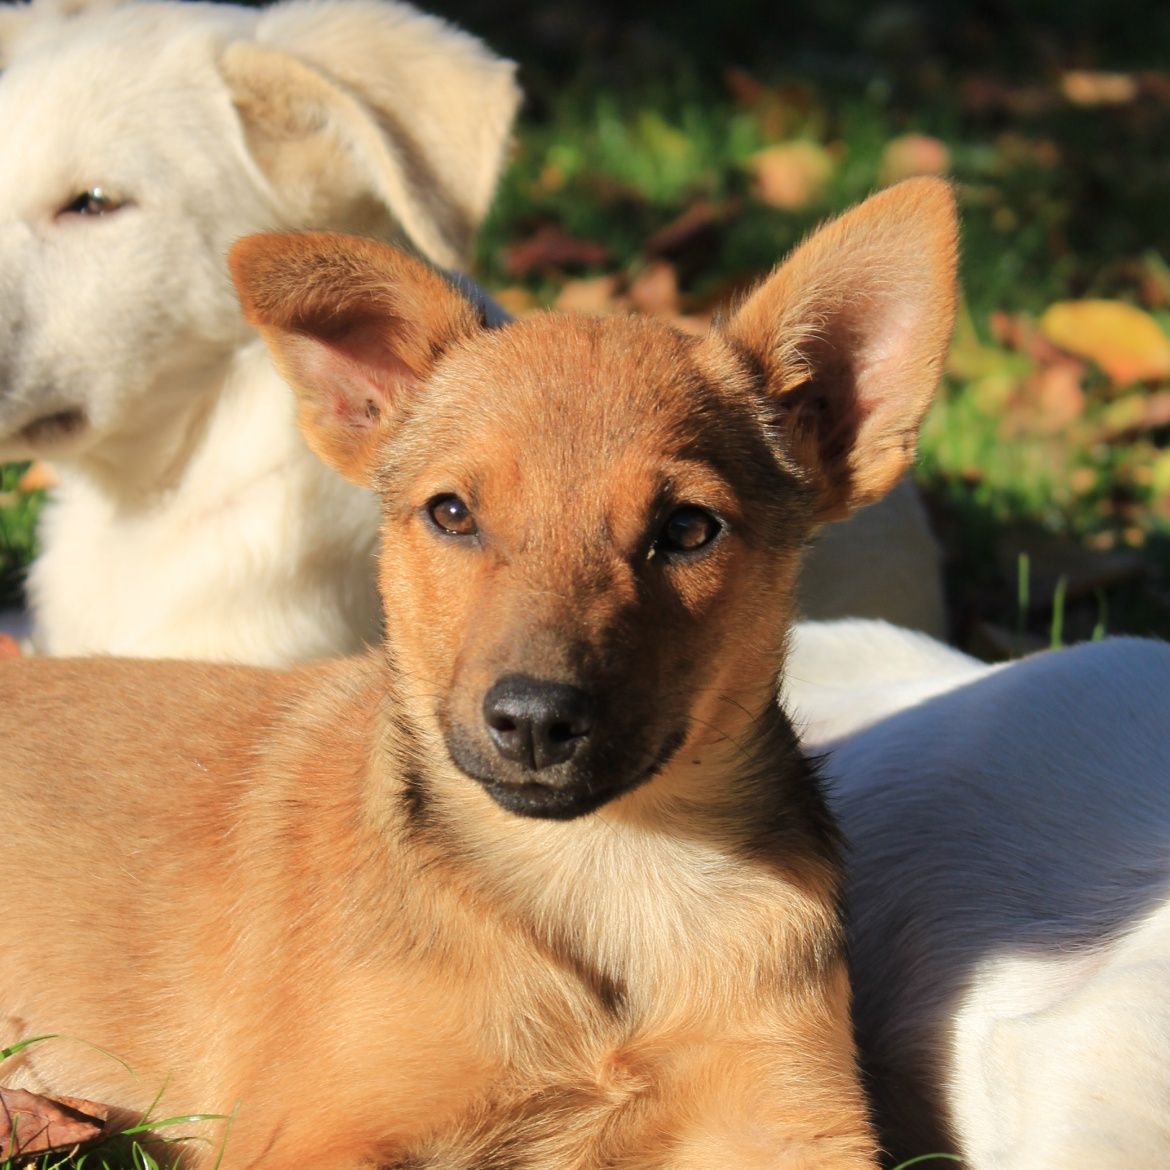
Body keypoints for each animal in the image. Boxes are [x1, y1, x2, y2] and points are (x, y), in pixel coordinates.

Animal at [0, 180, 954, 1170]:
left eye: (690, 529)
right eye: (452, 513)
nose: (533, 719)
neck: (604, 875)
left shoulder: (794, 1117)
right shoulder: (314, 1126)